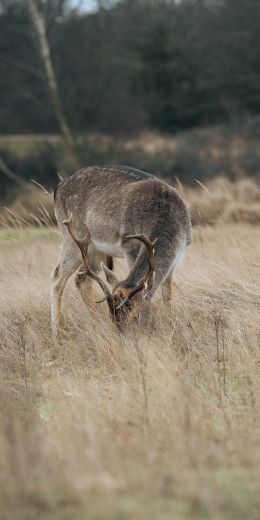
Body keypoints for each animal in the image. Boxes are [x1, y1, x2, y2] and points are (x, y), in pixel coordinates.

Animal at [50, 167, 192, 338]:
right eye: (113, 317)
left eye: (135, 316)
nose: (122, 335)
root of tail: (57, 188)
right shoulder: (130, 246)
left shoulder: (179, 255)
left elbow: (167, 294)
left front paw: (170, 323)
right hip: (71, 238)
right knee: (57, 277)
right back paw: (56, 333)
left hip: (94, 250)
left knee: (82, 280)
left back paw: (96, 325)